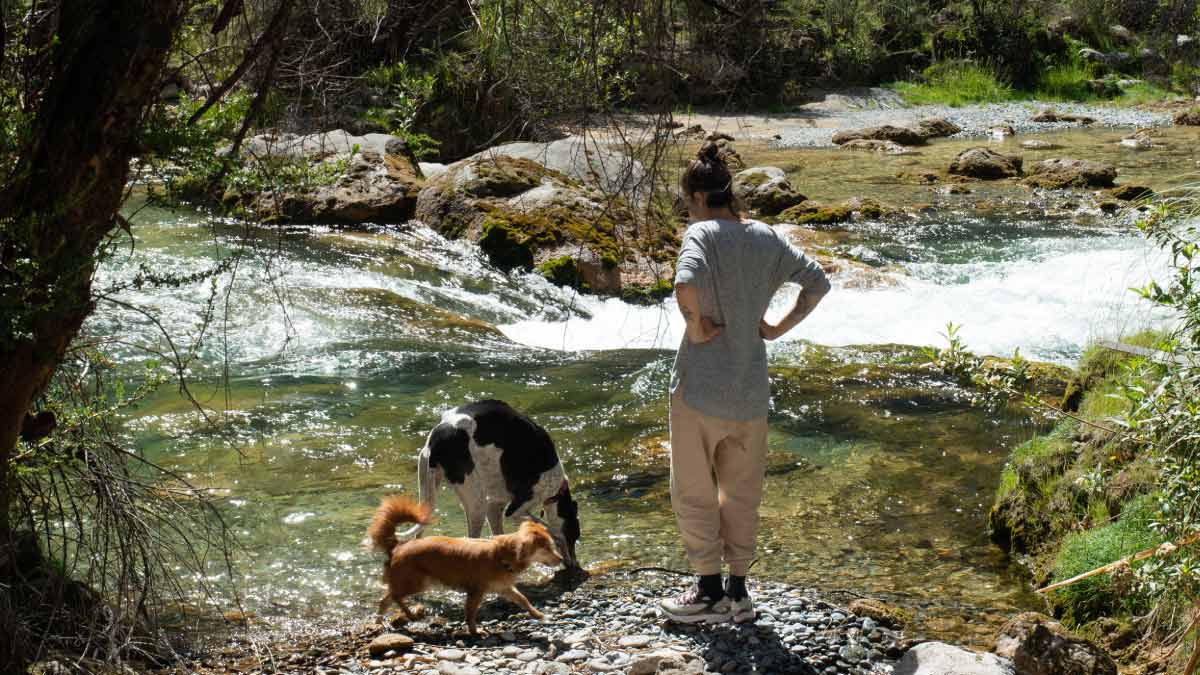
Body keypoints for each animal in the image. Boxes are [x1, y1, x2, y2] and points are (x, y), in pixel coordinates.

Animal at [364, 494, 561, 629]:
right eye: (548, 548)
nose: (561, 559)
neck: (503, 556)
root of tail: (397, 546)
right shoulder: (476, 591)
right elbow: (471, 613)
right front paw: (475, 632)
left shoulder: (504, 588)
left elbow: (523, 599)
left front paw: (539, 615)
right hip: (417, 582)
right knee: (394, 597)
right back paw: (409, 614)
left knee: (385, 600)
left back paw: (379, 622)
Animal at [417, 398, 580, 566]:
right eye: (575, 534)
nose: (576, 565)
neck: (557, 489)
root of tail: (436, 438)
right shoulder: (515, 510)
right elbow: (550, 530)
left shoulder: (494, 506)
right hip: (476, 505)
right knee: (471, 537)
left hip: (428, 496)